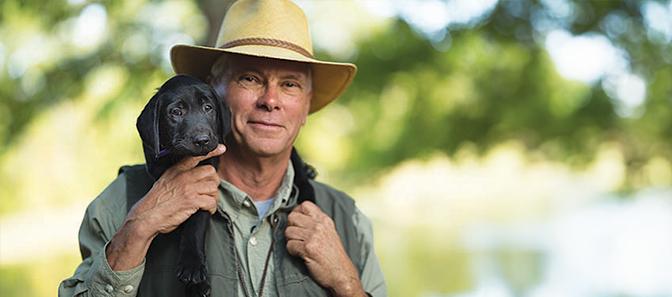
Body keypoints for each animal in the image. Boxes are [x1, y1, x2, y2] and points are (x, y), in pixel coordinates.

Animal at [136, 74, 231, 296]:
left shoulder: (205, 182)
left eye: (208, 107)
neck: (179, 157)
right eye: (176, 112)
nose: (202, 140)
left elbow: (195, 225)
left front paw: (193, 268)